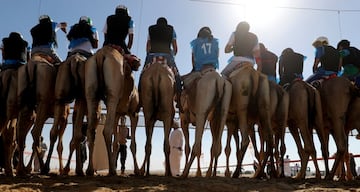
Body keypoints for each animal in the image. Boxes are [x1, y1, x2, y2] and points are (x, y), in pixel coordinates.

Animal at [84, 45, 141, 176]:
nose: (138, 62)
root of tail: (101, 55)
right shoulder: (134, 113)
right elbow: (133, 144)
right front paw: (137, 170)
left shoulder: (118, 113)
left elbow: (116, 143)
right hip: (113, 94)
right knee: (106, 130)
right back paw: (112, 170)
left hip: (91, 91)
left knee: (91, 130)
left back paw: (90, 170)